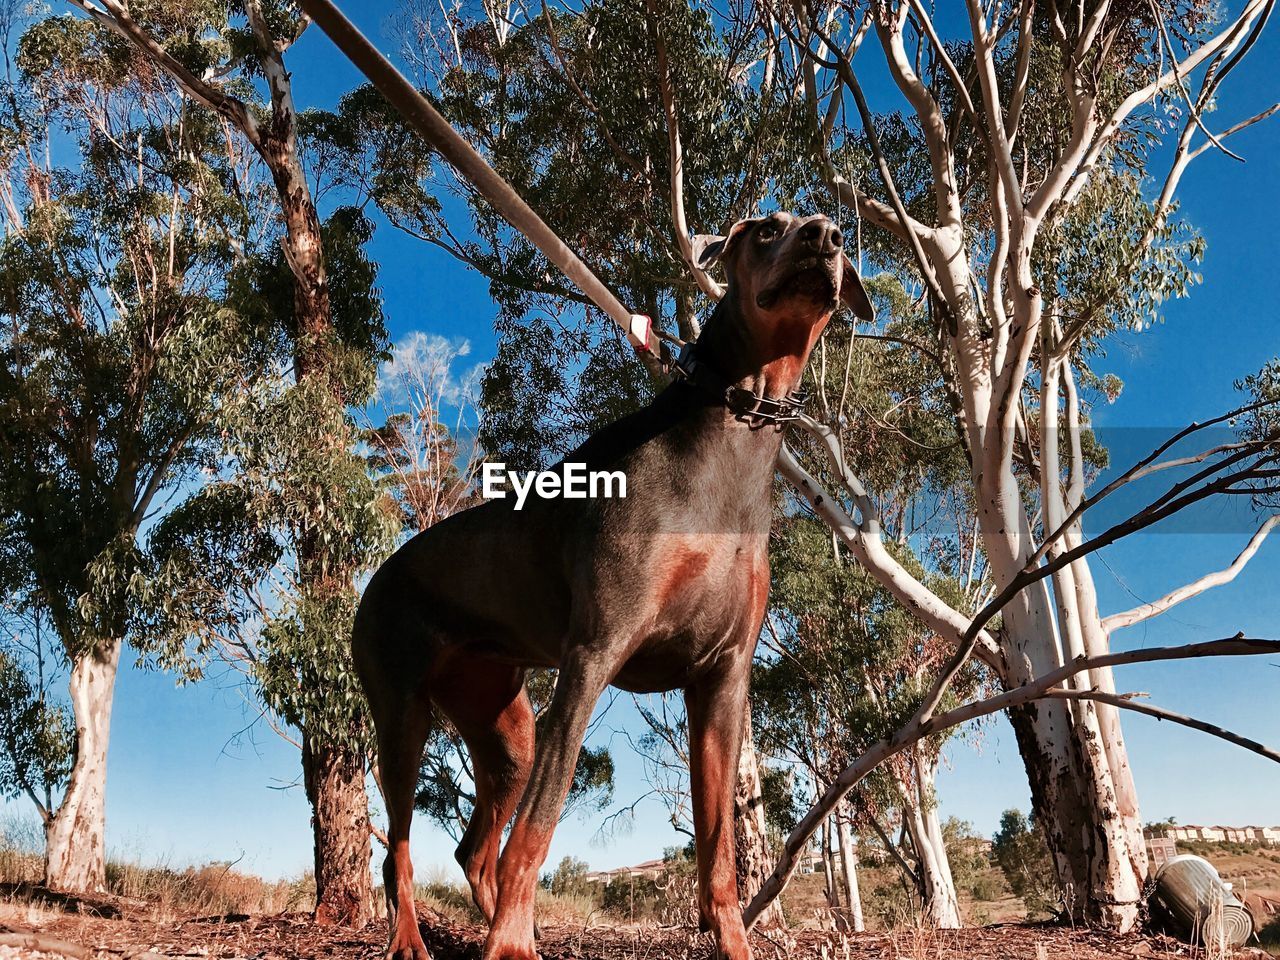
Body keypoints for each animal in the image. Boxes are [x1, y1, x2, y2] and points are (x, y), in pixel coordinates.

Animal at [355, 212, 875, 960]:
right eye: (765, 229)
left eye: (832, 227)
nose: (823, 237)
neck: (737, 426)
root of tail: (377, 578)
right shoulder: (593, 658)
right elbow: (538, 828)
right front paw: (508, 947)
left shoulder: (721, 679)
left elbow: (719, 848)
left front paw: (732, 942)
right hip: (403, 717)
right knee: (398, 846)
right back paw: (416, 940)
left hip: (506, 733)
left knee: (472, 851)